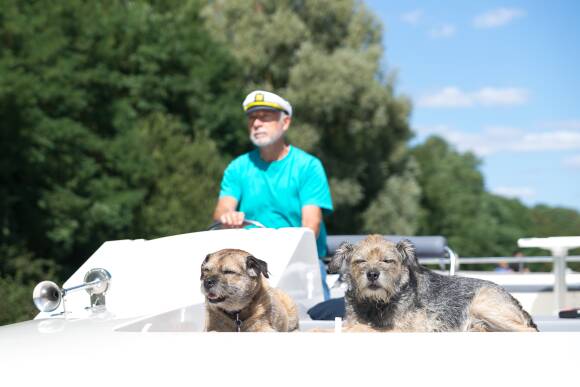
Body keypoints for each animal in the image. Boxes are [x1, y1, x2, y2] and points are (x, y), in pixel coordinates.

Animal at [328, 235, 536, 332]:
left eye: (387, 261)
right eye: (360, 261)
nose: (372, 274)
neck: (376, 303)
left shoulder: (416, 326)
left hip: (483, 303)